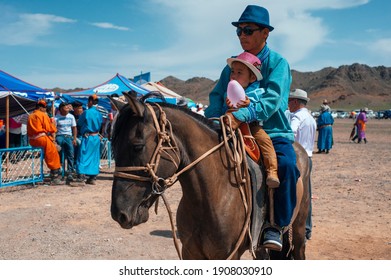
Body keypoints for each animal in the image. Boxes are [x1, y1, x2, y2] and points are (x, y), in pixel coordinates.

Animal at [109, 92, 310, 260]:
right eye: (113, 146)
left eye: (137, 146)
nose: (119, 213)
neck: (211, 196)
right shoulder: (190, 253)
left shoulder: (228, 256)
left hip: (299, 228)